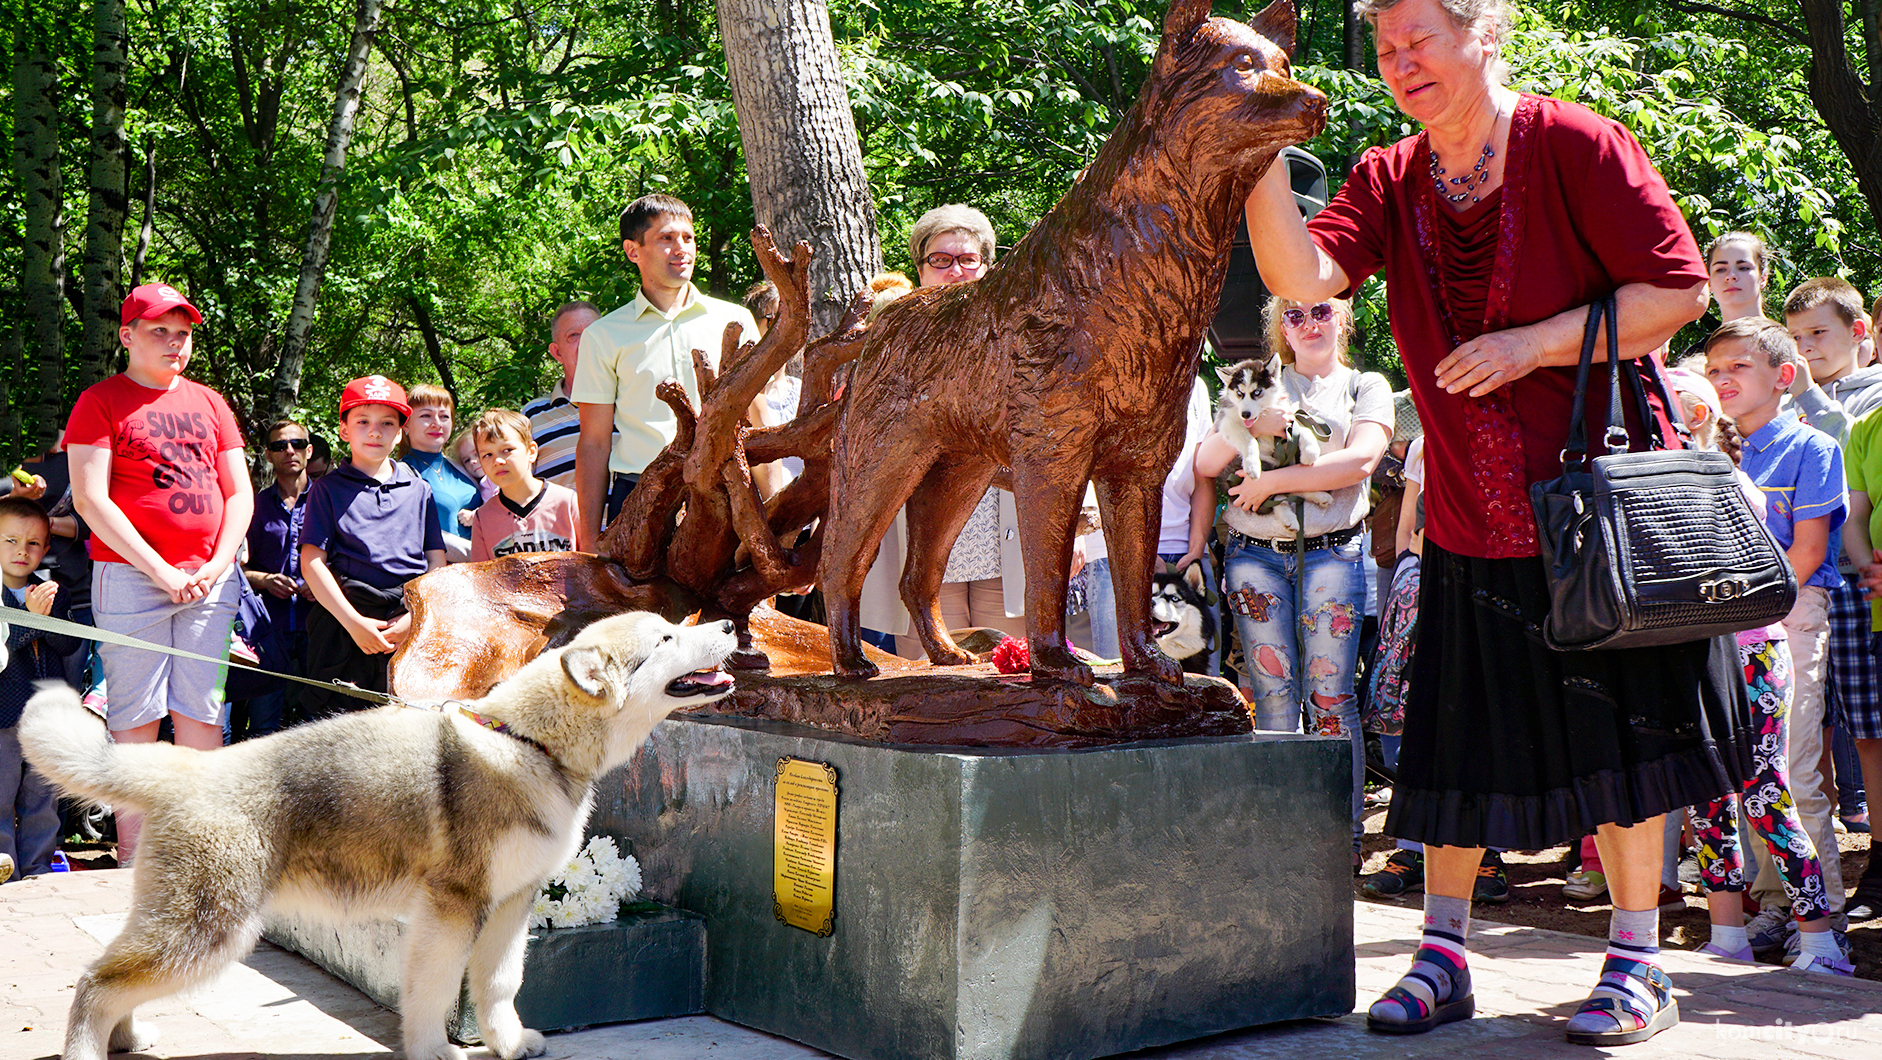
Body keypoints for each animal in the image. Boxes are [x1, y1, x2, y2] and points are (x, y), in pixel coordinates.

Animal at [27, 610, 741, 1060]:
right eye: (668, 635)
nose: (732, 625)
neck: (531, 741)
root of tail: (188, 766)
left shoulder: (511, 906)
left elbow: (497, 987)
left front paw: (509, 1045)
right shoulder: (451, 910)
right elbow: (433, 991)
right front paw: (435, 1051)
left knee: (110, 975)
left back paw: (126, 1037)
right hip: (209, 930)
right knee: (95, 983)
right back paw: (91, 1049)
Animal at [1219, 355, 1339, 534]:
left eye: (1257, 392)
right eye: (1239, 393)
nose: (1245, 414)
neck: (1264, 413)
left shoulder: (1286, 414)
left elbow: (1300, 425)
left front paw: (1310, 451)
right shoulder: (1227, 421)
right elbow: (1249, 440)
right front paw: (1252, 466)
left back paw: (1319, 496)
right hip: (1258, 467)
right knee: (1277, 495)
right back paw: (1290, 519)